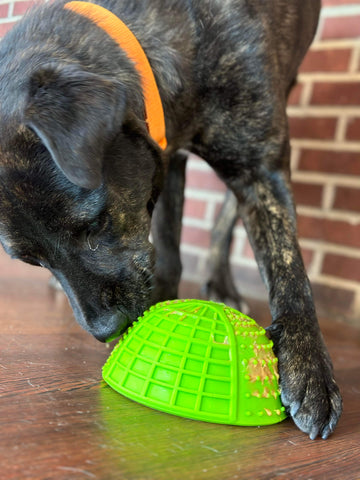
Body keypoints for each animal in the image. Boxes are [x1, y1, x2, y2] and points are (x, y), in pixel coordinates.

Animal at [0, 0, 344, 438]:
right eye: (32, 261)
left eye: (94, 223)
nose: (104, 330)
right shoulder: (164, 154)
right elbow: (165, 237)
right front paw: (163, 298)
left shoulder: (260, 169)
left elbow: (288, 267)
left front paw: (309, 365)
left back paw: (222, 282)